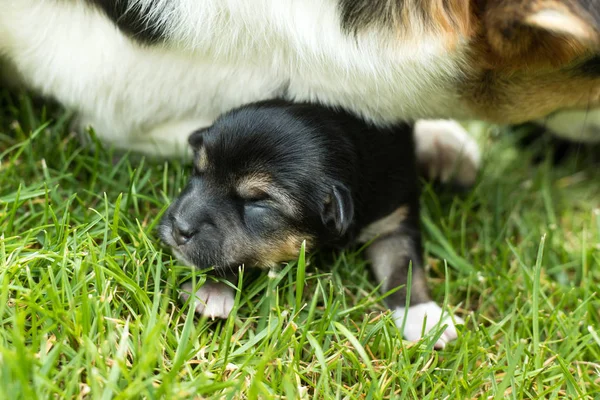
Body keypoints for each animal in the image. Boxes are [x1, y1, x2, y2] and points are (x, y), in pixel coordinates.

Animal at [159, 101, 464, 350]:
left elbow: (404, 266)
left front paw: (424, 316)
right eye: (197, 171)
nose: (178, 228)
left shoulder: (394, 219)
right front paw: (212, 289)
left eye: (257, 202)